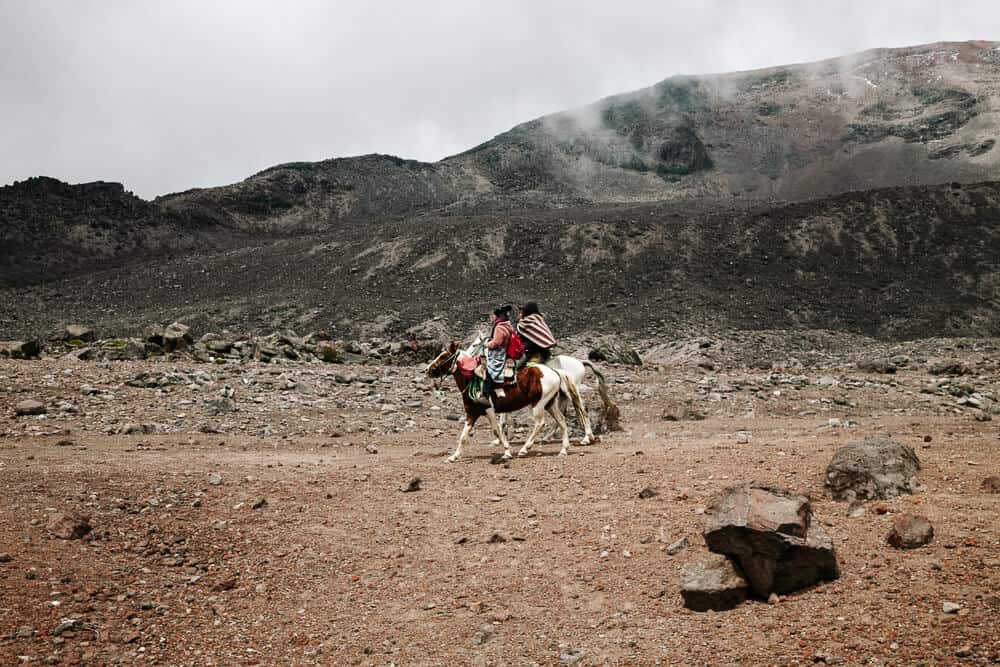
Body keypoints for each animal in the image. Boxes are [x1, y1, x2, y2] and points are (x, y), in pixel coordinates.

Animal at [424, 342, 592, 462]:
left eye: (443, 356)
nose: (427, 370)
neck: (472, 378)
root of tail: (556, 372)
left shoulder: (489, 410)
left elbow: (496, 430)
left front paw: (507, 451)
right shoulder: (472, 413)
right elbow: (463, 436)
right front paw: (454, 456)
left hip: (538, 405)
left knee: (541, 423)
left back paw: (525, 449)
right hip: (550, 404)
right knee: (562, 421)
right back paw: (563, 449)